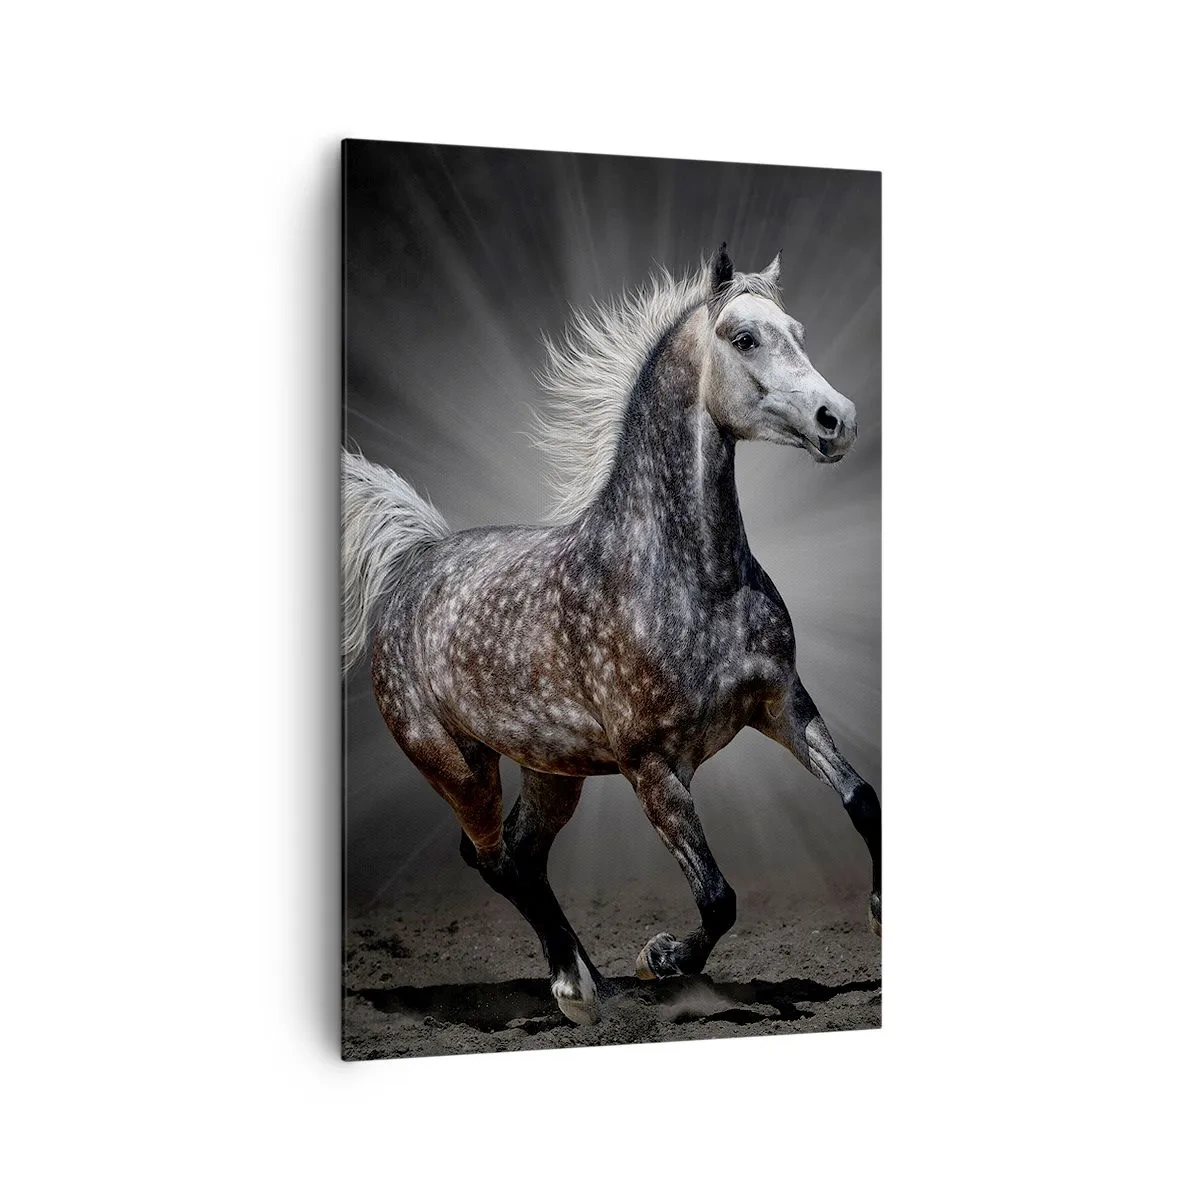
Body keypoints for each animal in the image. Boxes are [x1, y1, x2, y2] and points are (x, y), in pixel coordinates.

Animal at [342, 245, 881, 1026]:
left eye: (797, 331)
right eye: (744, 337)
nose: (838, 420)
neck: (689, 576)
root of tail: (414, 562)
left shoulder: (784, 705)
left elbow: (862, 799)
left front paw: (878, 913)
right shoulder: (651, 765)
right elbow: (718, 898)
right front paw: (661, 958)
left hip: (550, 769)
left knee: (521, 856)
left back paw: (591, 978)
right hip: (456, 764)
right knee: (494, 858)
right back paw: (577, 988)